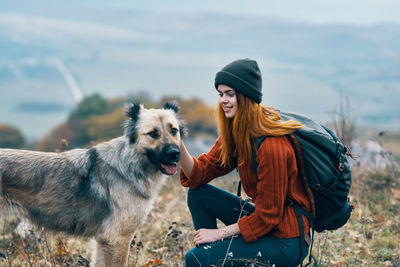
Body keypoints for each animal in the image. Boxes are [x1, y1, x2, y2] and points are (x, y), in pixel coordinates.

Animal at [0, 101, 187, 266]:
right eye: (153, 134)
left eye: (174, 130)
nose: (175, 153)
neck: (131, 163)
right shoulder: (118, 238)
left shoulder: (103, 240)